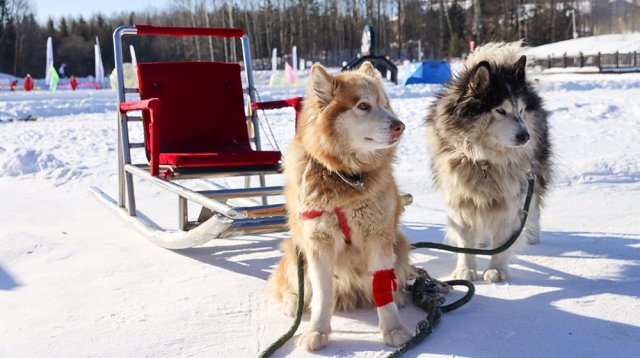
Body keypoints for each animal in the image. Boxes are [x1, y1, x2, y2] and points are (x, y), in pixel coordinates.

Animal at [266, 63, 412, 352]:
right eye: (363, 106)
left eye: (385, 105)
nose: (400, 126)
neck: (345, 178)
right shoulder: (318, 243)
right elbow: (322, 295)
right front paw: (317, 331)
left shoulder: (379, 237)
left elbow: (383, 290)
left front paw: (393, 329)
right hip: (294, 252)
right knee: (292, 287)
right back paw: (293, 302)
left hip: (399, 243)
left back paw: (399, 294)